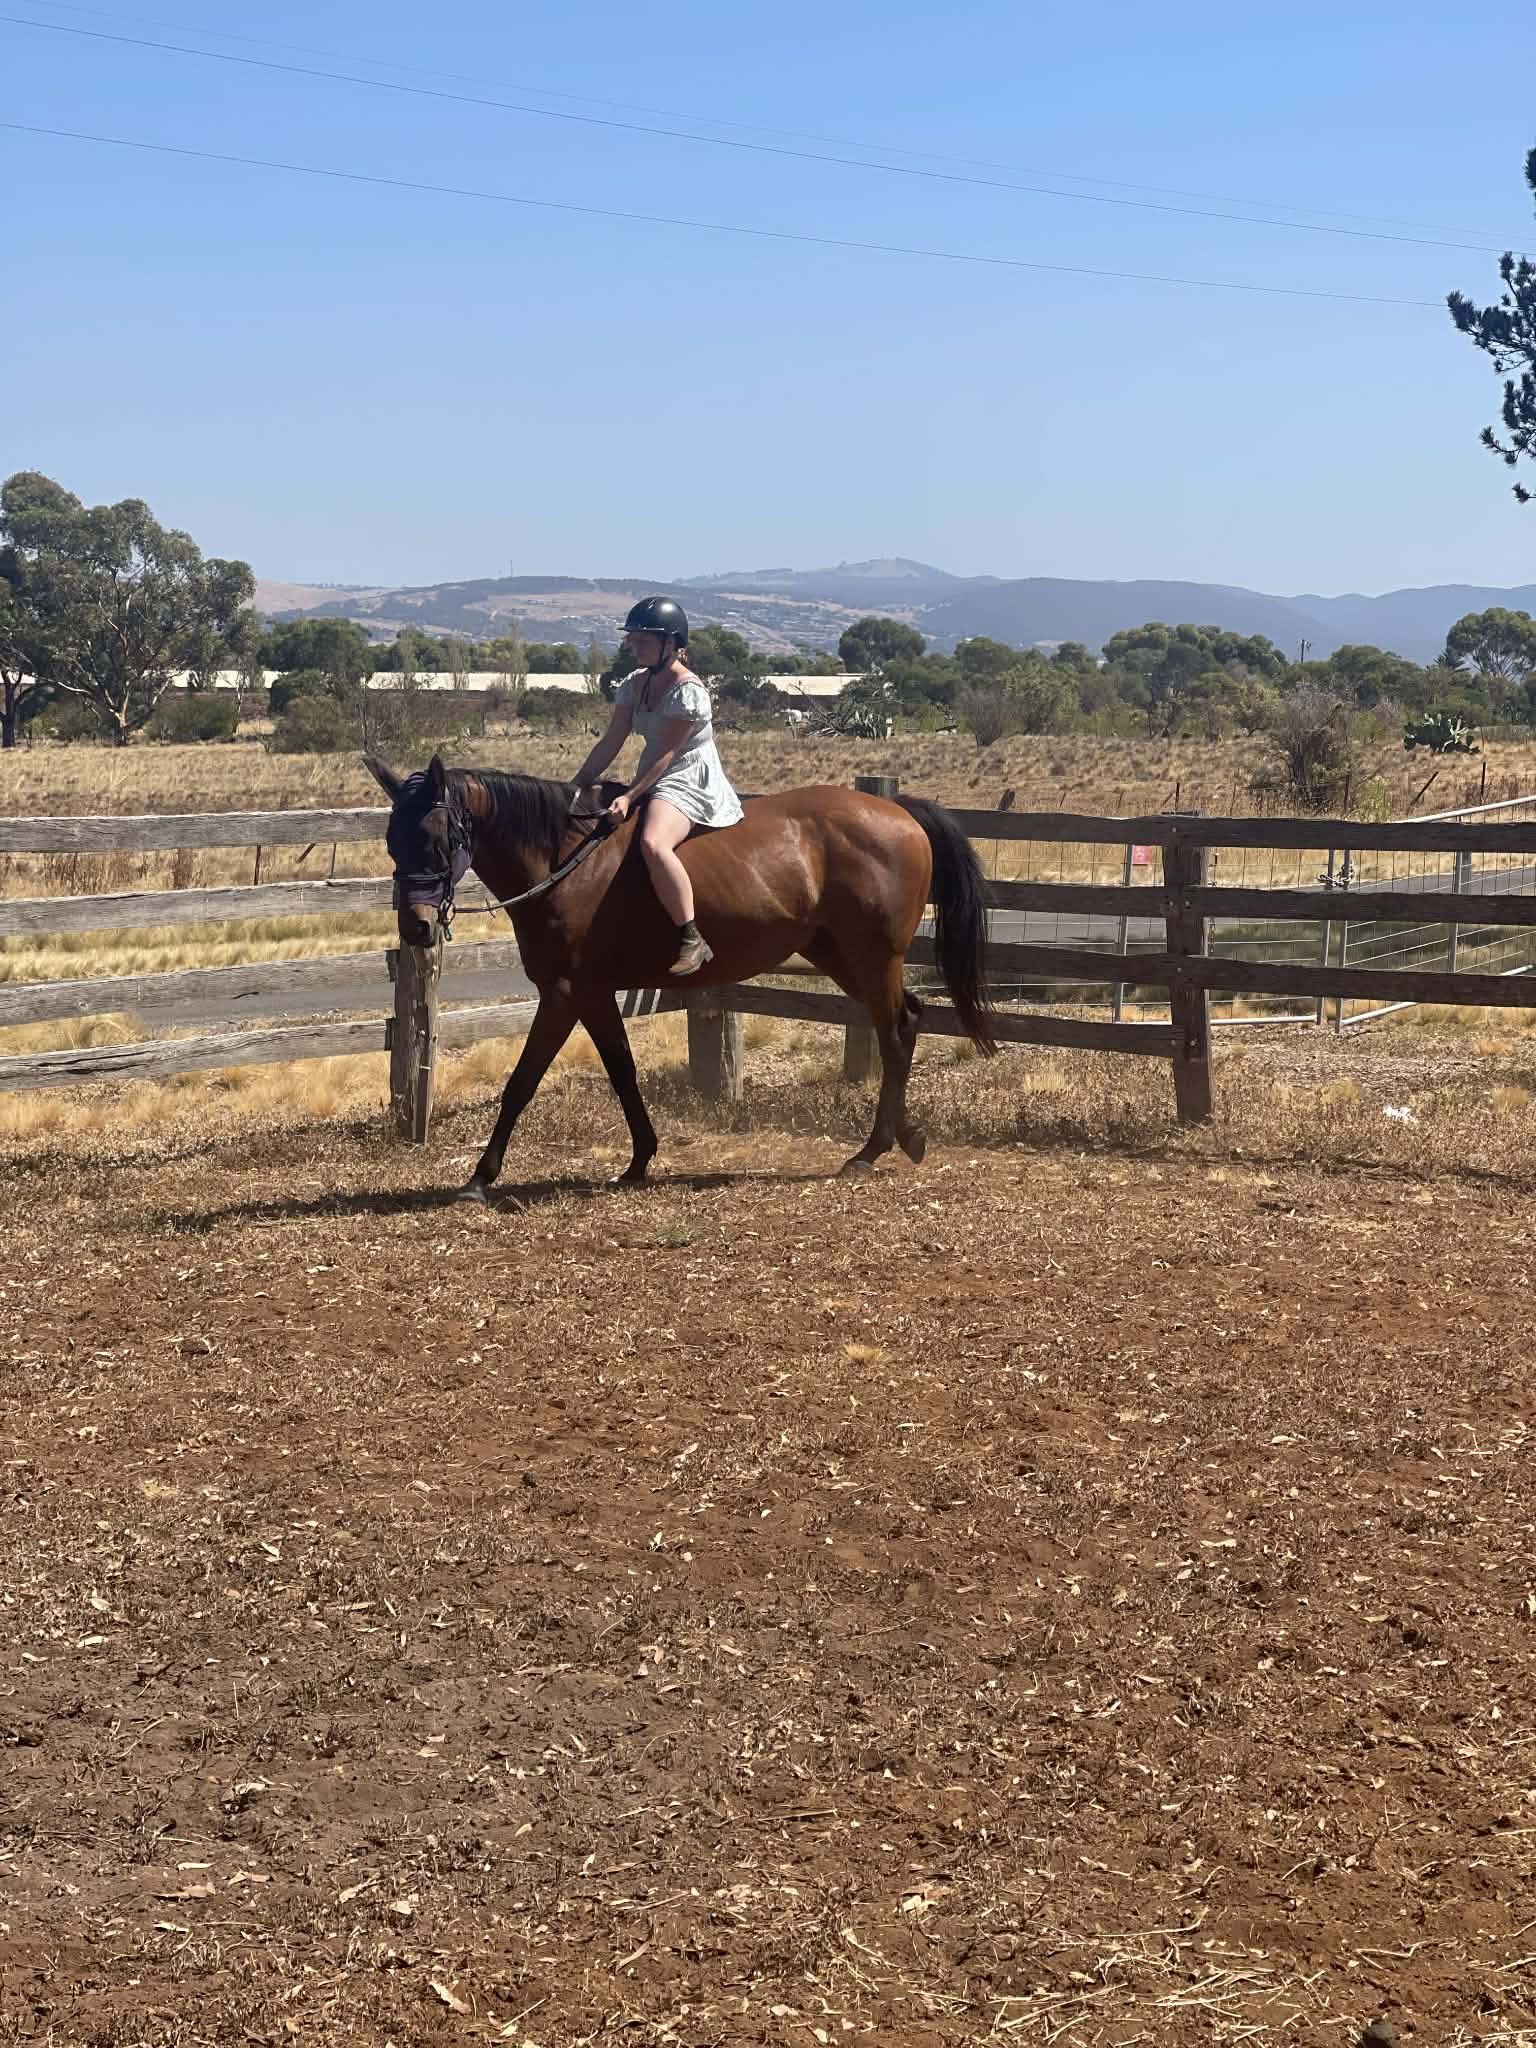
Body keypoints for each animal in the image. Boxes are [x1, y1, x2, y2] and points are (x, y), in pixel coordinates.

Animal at [367, 754, 996, 1199]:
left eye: (435, 838)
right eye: (392, 839)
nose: (417, 928)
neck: (566, 862)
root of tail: (900, 812)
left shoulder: (565, 993)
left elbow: (522, 1082)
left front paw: (481, 1176)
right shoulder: (594, 994)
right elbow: (622, 1071)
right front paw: (640, 1159)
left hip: (872, 956)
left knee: (895, 1032)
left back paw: (871, 1150)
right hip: (840, 956)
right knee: (906, 1021)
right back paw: (901, 1138)